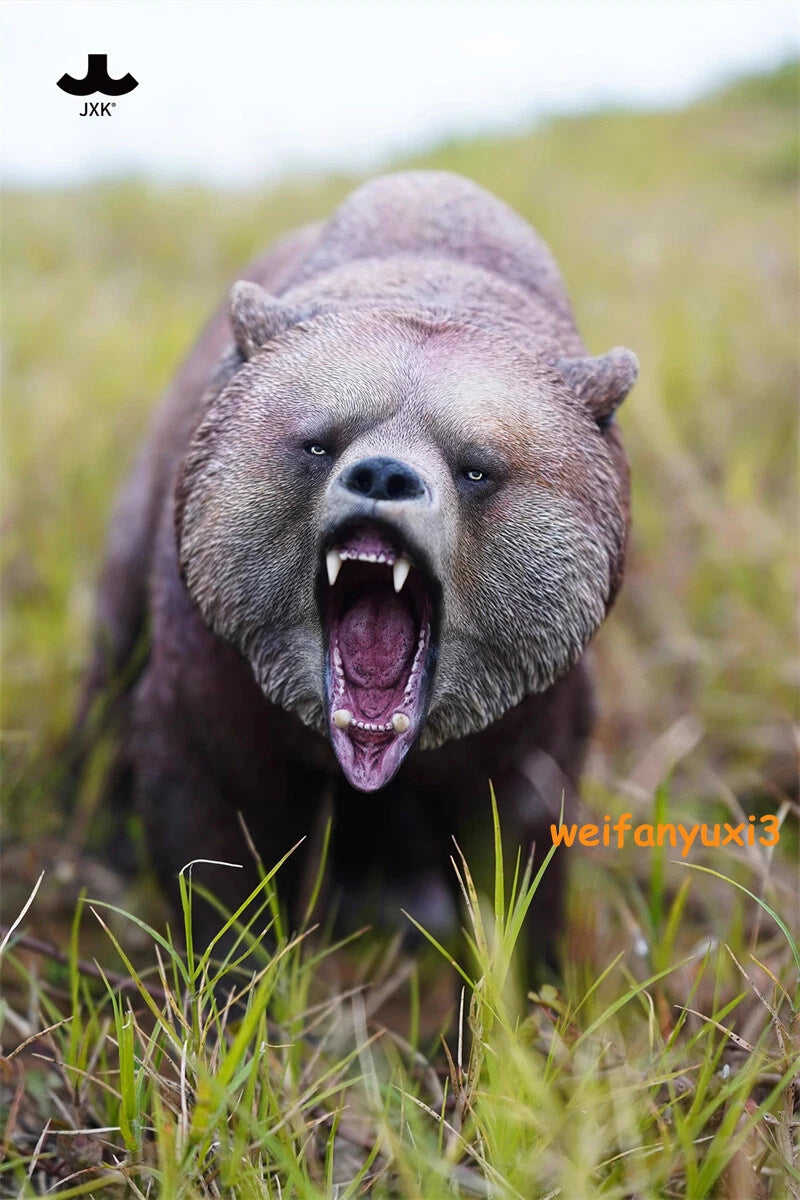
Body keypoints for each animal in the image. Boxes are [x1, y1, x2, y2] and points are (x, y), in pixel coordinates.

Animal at [76, 170, 636, 979]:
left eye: (477, 467)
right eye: (318, 442)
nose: (384, 474)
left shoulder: (535, 715)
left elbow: (516, 859)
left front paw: (522, 990)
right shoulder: (214, 667)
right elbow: (214, 832)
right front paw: (235, 978)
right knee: (111, 661)